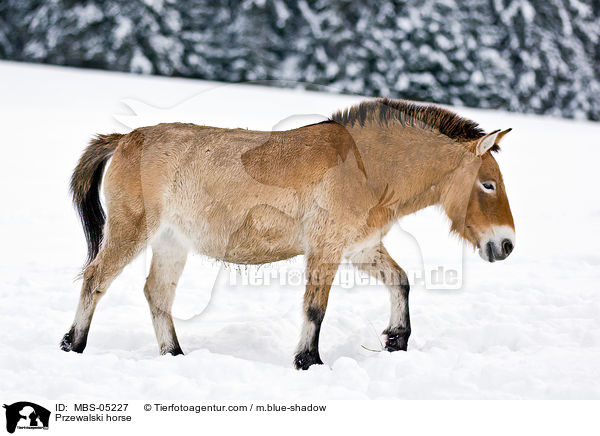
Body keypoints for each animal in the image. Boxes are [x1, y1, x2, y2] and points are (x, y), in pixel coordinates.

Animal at [63, 98, 516, 368]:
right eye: (488, 183)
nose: (506, 244)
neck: (365, 167)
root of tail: (125, 139)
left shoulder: (361, 248)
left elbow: (401, 281)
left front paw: (397, 340)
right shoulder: (325, 248)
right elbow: (315, 308)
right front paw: (308, 359)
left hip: (172, 243)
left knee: (157, 294)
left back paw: (174, 354)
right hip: (131, 230)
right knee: (96, 279)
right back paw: (74, 344)